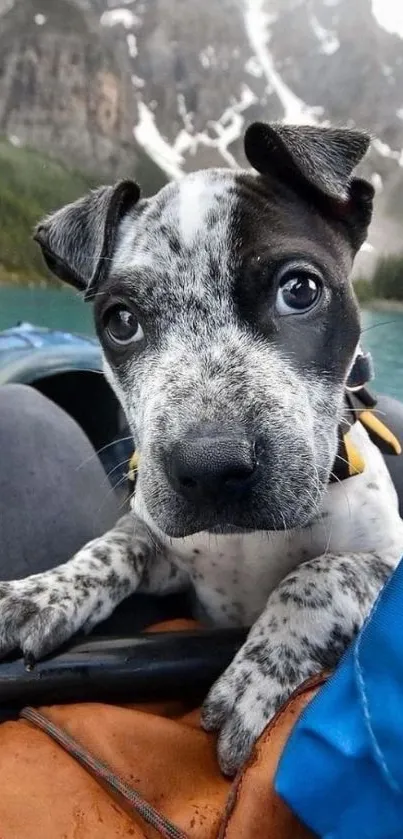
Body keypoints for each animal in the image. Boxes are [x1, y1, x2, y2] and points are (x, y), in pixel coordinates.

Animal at [0, 121, 403, 776]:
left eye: (300, 290)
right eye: (121, 322)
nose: (210, 469)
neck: (249, 543)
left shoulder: (387, 562)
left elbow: (321, 571)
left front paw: (256, 675)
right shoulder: (171, 556)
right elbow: (114, 545)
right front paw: (47, 591)